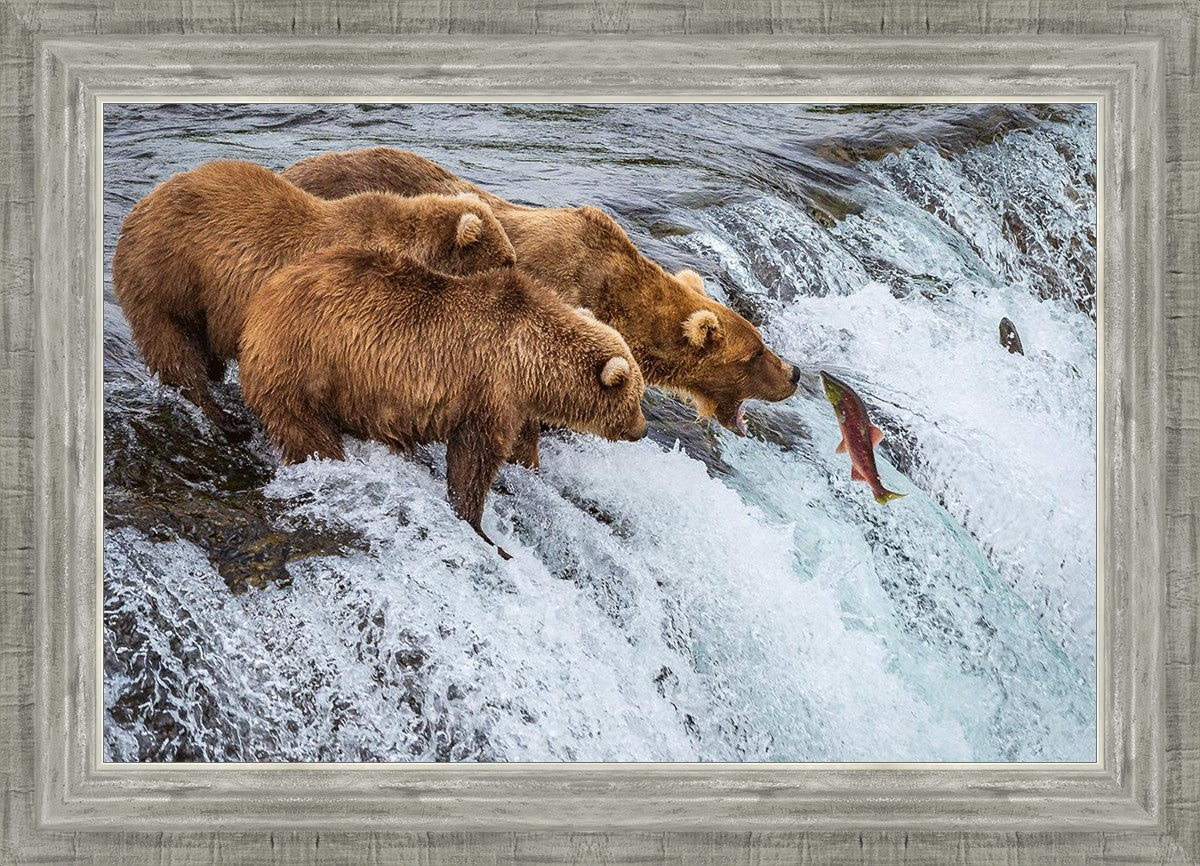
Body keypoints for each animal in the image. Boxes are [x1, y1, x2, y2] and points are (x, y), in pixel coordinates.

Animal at [111, 159, 516, 440]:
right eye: (506, 260)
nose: (517, 275)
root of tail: (140, 206)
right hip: (168, 276)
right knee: (174, 348)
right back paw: (226, 419)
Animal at [238, 244, 647, 558]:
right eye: (636, 398)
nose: (642, 430)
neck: (531, 362)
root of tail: (261, 301)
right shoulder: (489, 388)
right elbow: (474, 459)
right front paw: (482, 530)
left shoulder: (515, 403)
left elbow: (520, 446)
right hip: (305, 365)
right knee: (307, 431)